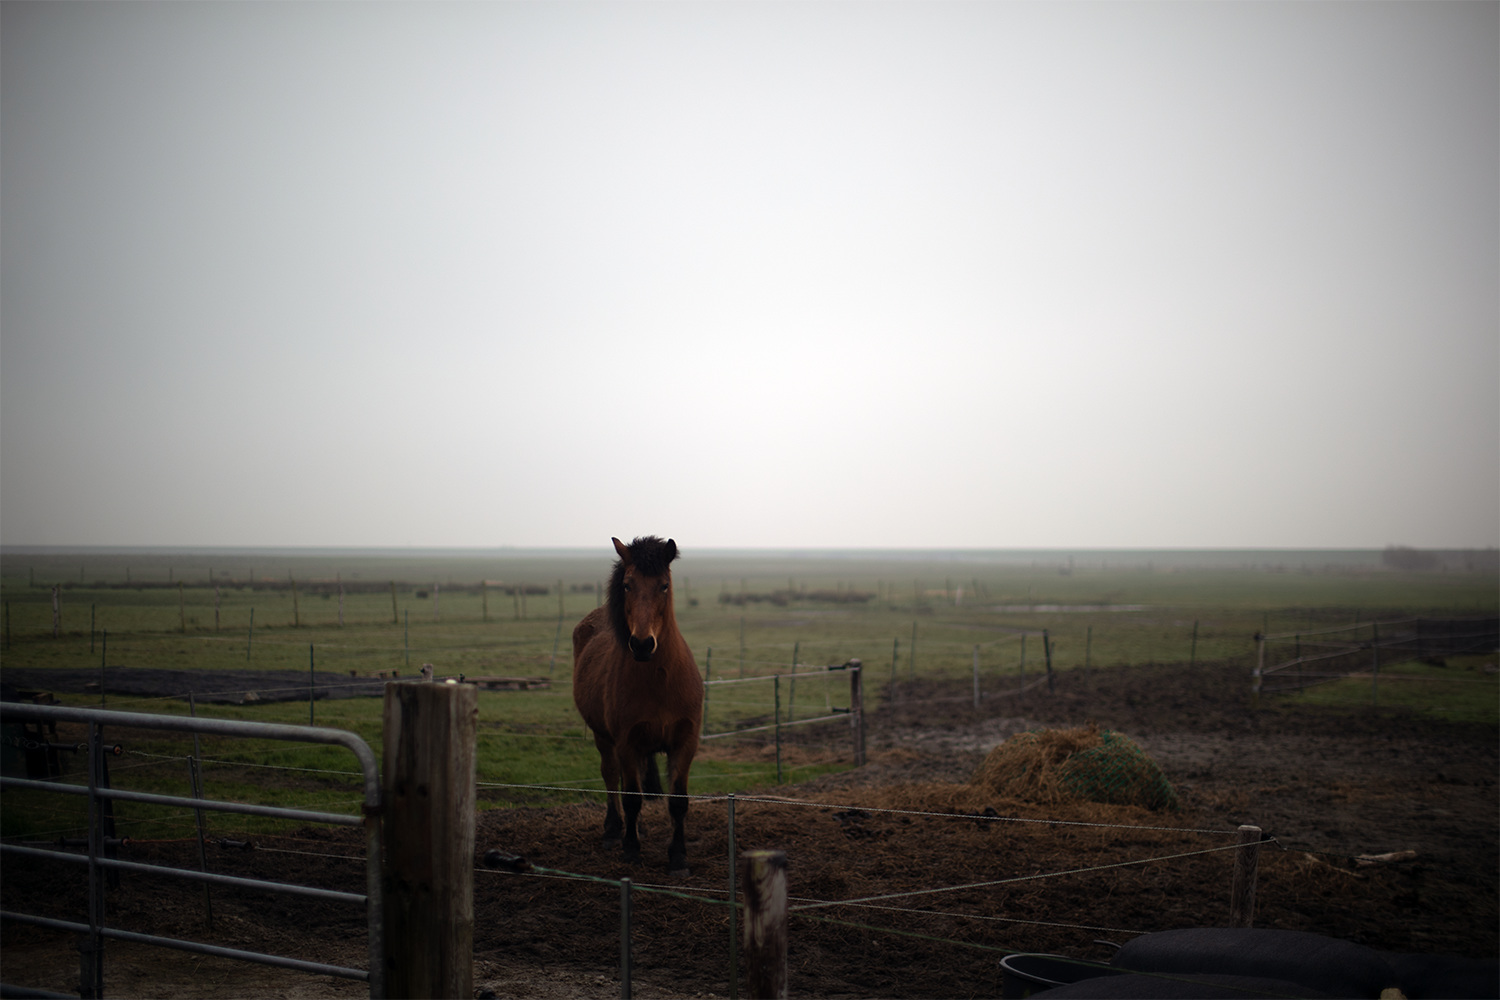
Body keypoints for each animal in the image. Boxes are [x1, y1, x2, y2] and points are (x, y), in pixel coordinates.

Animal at [572, 535, 704, 875]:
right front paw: (630, 849)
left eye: (664, 585)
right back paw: (614, 830)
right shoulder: (626, 741)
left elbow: (678, 801)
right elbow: (631, 796)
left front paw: (679, 857)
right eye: (628, 585)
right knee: (611, 775)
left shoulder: (685, 741)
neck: (660, 679)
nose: (642, 644)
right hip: (604, 738)